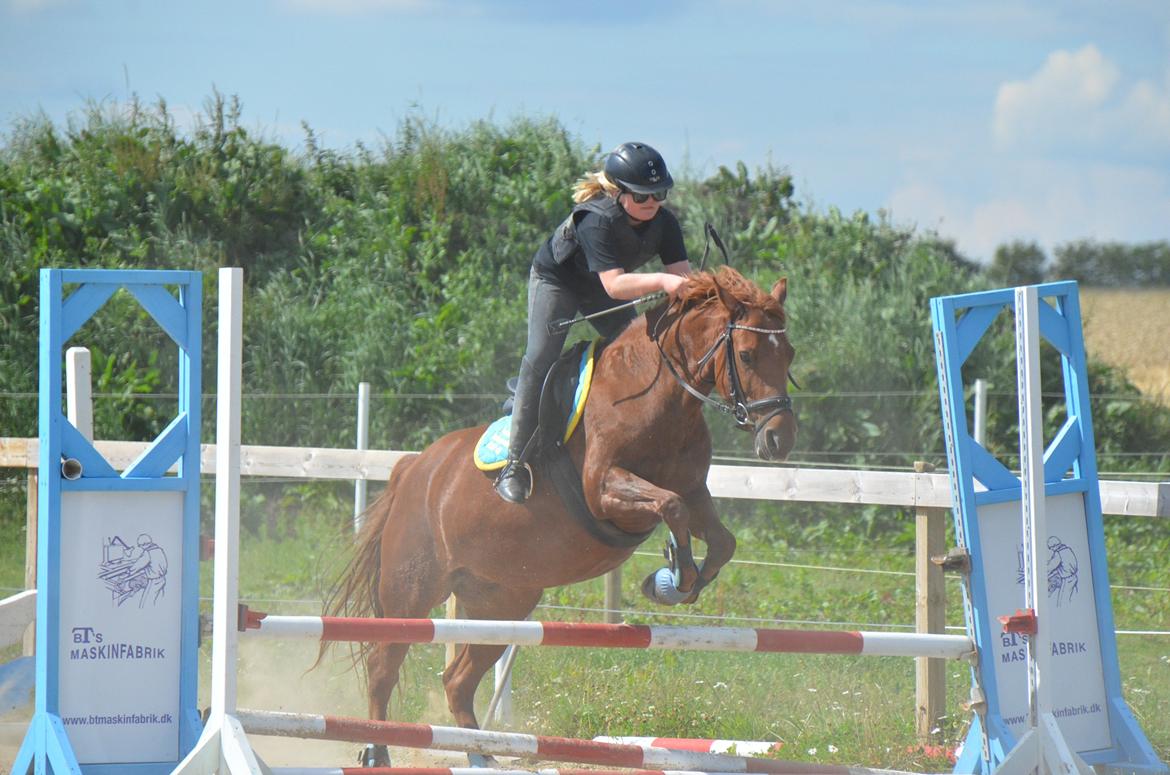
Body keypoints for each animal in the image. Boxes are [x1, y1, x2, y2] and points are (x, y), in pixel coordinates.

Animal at [320, 265, 795, 763]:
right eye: (746, 354)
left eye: (790, 355)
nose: (780, 439)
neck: (657, 398)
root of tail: (414, 467)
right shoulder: (604, 490)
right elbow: (671, 506)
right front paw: (674, 577)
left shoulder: (694, 490)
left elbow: (719, 538)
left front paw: (675, 581)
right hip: (411, 588)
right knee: (382, 664)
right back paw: (376, 750)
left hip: (502, 601)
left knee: (457, 680)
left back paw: (480, 755)